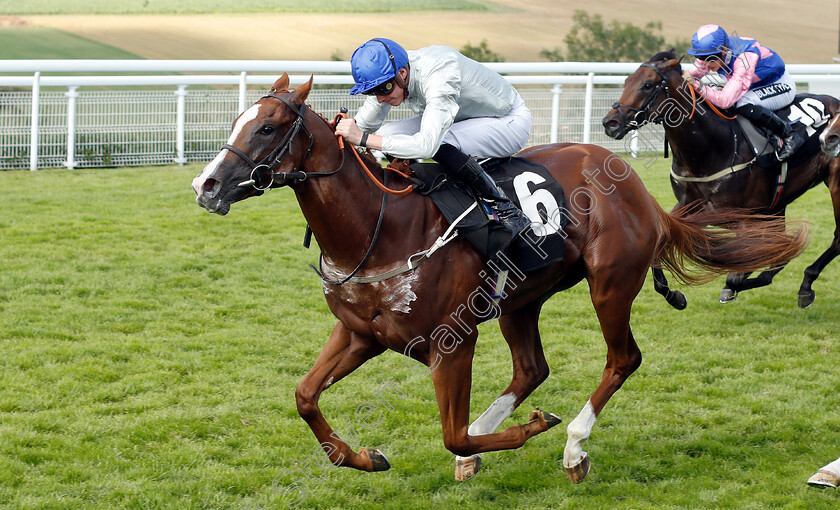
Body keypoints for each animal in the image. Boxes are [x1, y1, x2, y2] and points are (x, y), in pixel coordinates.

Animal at [192, 73, 808, 484]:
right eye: (237, 121)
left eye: (267, 126)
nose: (206, 185)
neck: (381, 226)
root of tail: (638, 189)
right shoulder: (361, 334)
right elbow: (304, 397)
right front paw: (363, 457)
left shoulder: (452, 344)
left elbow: (451, 432)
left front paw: (534, 429)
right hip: (519, 300)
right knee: (532, 367)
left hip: (609, 285)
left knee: (622, 359)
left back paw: (574, 446)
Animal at [604, 49, 840, 308]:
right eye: (627, 80)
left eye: (647, 85)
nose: (610, 123)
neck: (713, 147)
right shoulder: (690, 204)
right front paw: (675, 296)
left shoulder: (743, 217)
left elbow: (748, 265)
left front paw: (737, 281)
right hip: (778, 202)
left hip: (834, 185)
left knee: (836, 239)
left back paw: (806, 284)